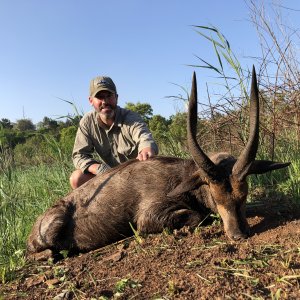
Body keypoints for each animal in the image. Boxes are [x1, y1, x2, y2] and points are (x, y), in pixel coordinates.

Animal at [27, 67, 290, 258]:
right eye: (215, 197)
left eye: (243, 195)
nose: (238, 235)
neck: (182, 176)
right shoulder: (148, 217)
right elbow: (198, 216)